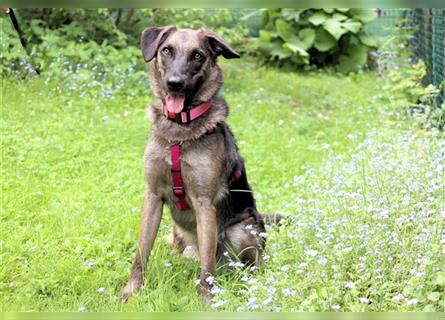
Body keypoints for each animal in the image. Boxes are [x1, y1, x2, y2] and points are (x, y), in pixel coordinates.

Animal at [119, 26, 276, 304]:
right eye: (166, 50)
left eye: (198, 55)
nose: (174, 83)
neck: (179, 130)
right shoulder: (153, 197)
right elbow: (141, 252)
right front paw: (131, 291)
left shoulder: (204, 204)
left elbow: (207, 270)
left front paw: (208, 302)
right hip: (176, 232)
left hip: (241, 231)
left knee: (248, 264)